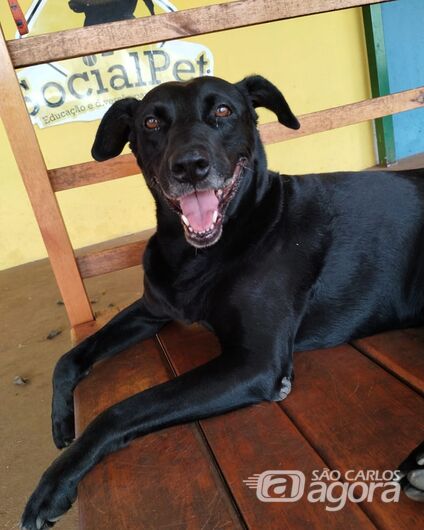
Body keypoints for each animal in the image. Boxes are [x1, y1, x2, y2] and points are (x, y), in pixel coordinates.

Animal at [21, 75, 424, 528]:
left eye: (223, 111)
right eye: (150, 121)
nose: (190, 166)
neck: (202, 253)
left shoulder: (254, 363)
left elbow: (121, 410)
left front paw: (55, 482)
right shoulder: (153, 309)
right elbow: (68, 358)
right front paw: (61, 422)